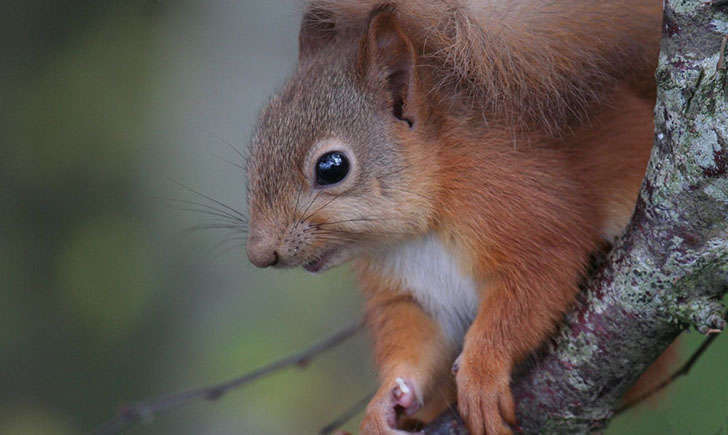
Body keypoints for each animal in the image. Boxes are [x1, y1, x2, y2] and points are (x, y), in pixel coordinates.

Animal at [246, 1, 664, 434]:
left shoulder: (529, 219)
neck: (421, 227)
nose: (259, 254)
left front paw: (481, 374)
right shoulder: (413, 291)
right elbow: (414, 339)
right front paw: (385, 401)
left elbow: (526, 299)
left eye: (332, 167)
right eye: (255, 148)